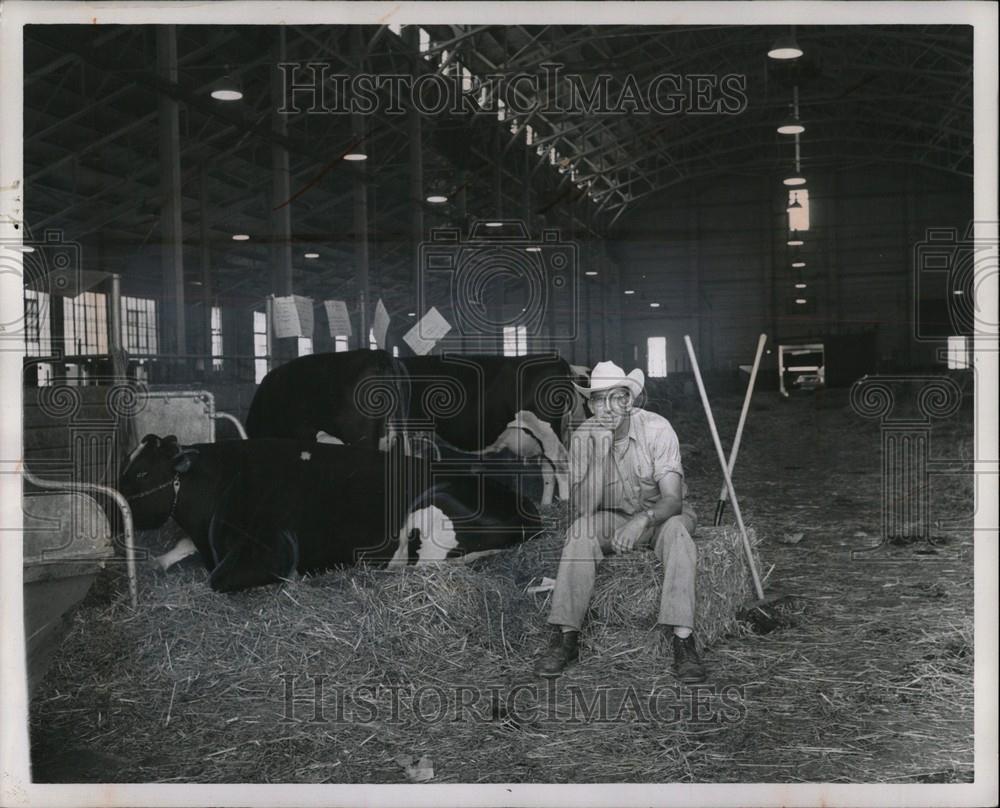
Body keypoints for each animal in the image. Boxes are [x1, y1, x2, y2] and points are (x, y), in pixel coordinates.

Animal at [120, 436, 544, 592]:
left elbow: (218, 579)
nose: (114, 505)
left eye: (142, 474)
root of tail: (532, 514)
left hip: (429, 517)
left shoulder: (272, 547)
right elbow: (177, 547)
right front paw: (156, 561)